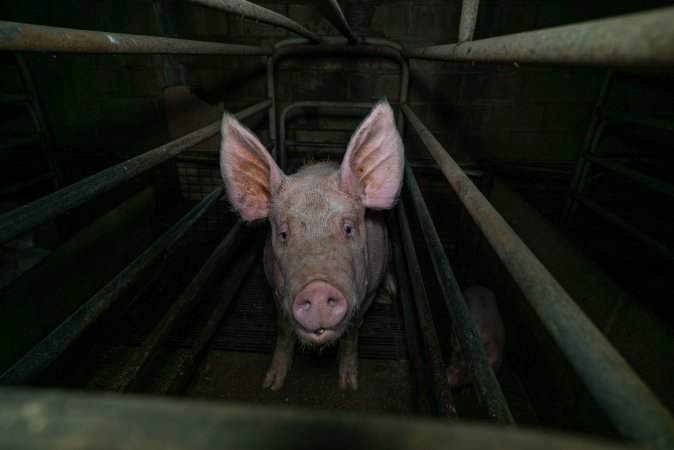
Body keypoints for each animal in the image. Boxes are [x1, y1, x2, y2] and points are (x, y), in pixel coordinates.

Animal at [218, 101, 402, 390]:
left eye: (348, 229)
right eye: (284, 234)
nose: (317, 288)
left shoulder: (367, 292)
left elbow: (352, 331)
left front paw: (348, 385)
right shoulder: (275, 287)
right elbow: (284, 331)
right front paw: (271, 384)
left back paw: (389, 293)